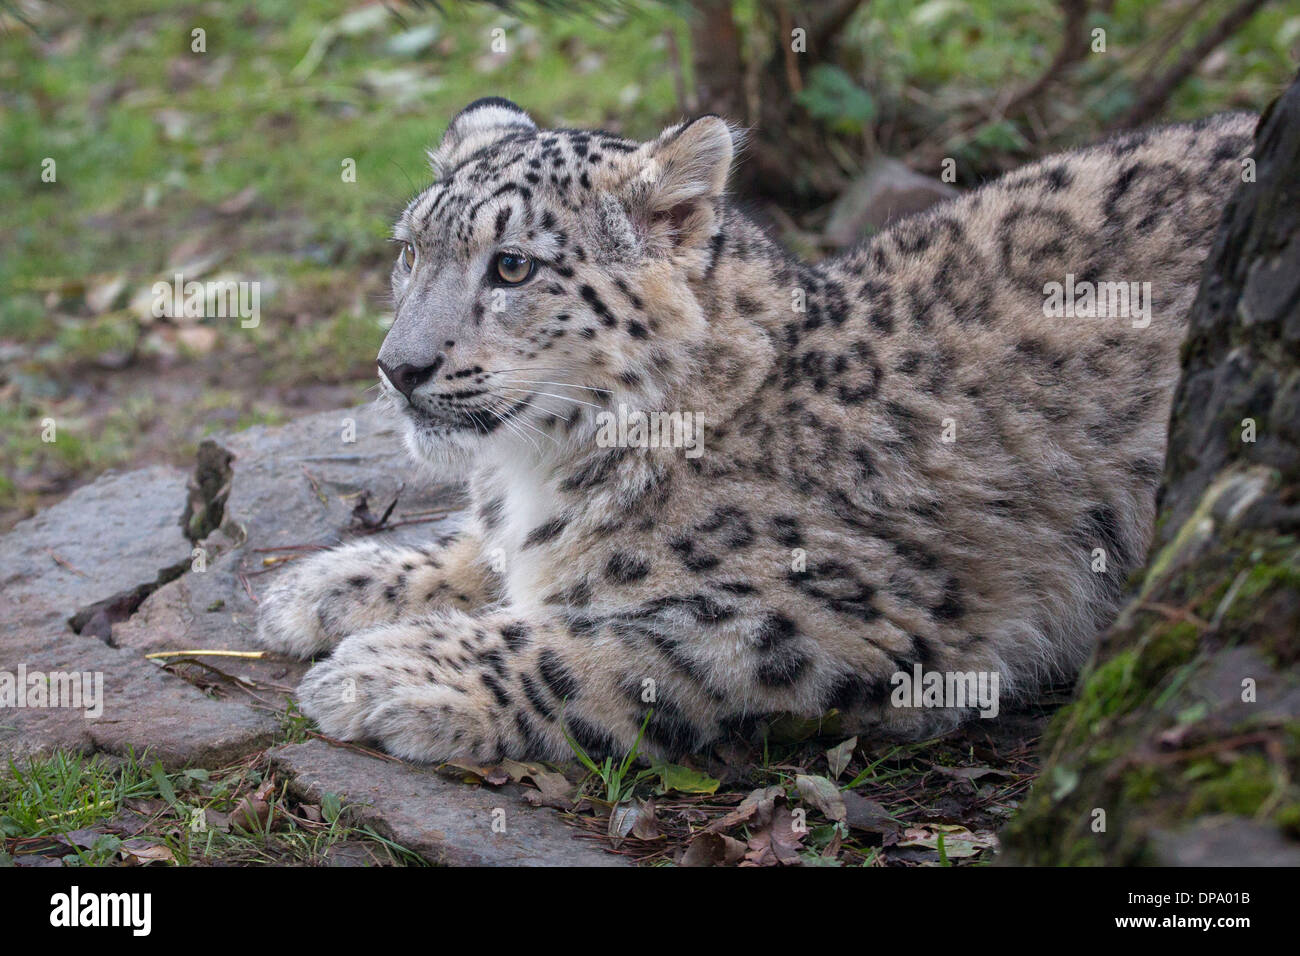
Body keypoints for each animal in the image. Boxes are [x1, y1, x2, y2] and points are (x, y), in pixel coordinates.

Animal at [256, 96, 1256, 764]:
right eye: (409, 250)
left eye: (511, 266)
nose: (398, 366)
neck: (541, 468)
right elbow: (487, 555)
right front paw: (324, 586)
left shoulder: (848, 614)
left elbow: (587, 646)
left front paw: (383, 674)